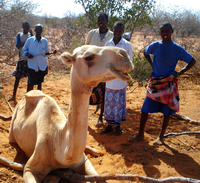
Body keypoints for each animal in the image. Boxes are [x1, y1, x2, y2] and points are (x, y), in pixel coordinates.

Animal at [0, 44, 134, 183]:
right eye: (88, 57)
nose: (124, 56)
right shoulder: (30, 168)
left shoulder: (83, 161)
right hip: (12, 131)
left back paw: (97, 151)